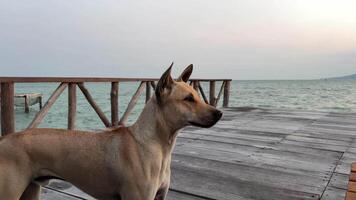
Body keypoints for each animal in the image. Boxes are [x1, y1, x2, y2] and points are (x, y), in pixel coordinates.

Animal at [0, 64, 222, 200]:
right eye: (188, 99)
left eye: (197, 95)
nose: (219, 113)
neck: (158, 144)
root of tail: (4, 141)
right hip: (10, 191)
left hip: (31, 189)